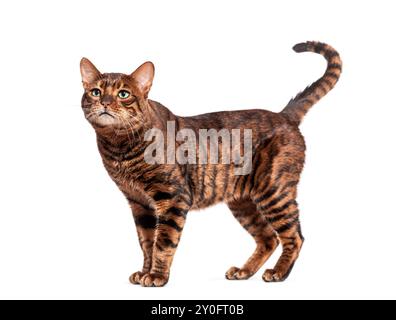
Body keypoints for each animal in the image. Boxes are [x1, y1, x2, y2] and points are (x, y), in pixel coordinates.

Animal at [79, 41, 340, 286]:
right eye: (95, 92)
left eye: (123, 94)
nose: (104, 102)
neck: (119, 148)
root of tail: (284, 115)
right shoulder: (138, 203)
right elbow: (146, 242)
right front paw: (144, 272)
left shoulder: (172, 198)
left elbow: (162, 242)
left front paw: (156, 276)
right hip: (243, 202)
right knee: (268, 237)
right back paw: (244, 271)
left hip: (274, 191)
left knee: (294, 236)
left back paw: (278, 272)